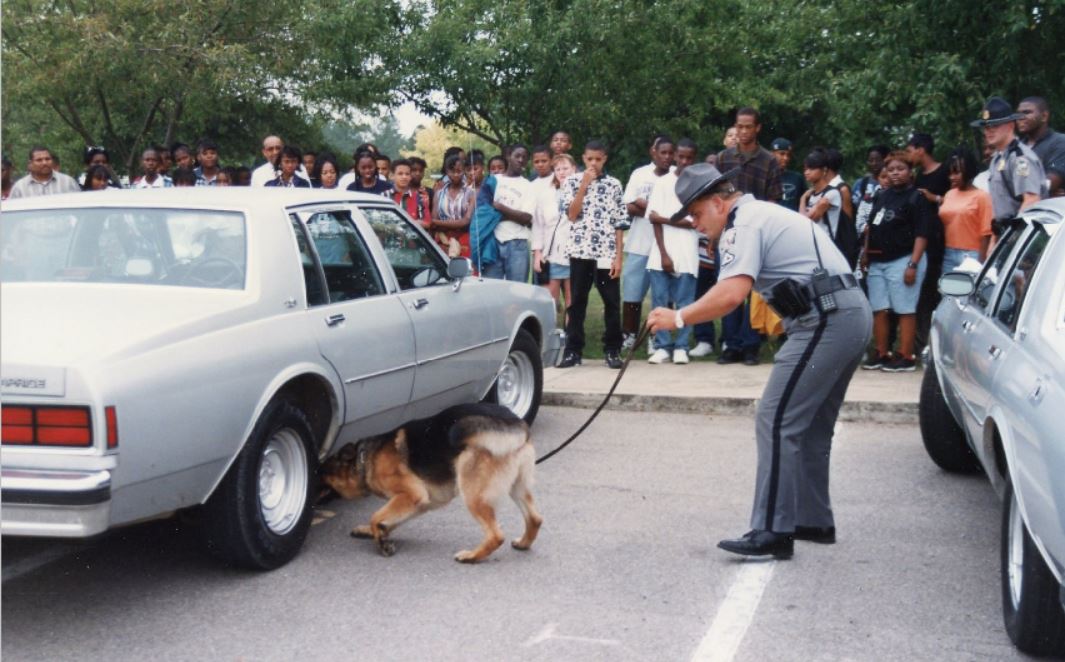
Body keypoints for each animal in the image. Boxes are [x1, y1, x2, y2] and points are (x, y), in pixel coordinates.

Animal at [319, 402, 541, 561]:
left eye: (319, 472)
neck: (365, 459)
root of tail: (515, 423)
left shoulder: (411, 494)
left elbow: (376, 516)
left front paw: (381, 541)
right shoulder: (419, 503)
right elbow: (388, 520)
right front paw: (376, 532)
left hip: (472, 494)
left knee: (496, 535)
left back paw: (471, 556)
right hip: (517, 488)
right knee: (535, 519)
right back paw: (523, 543)